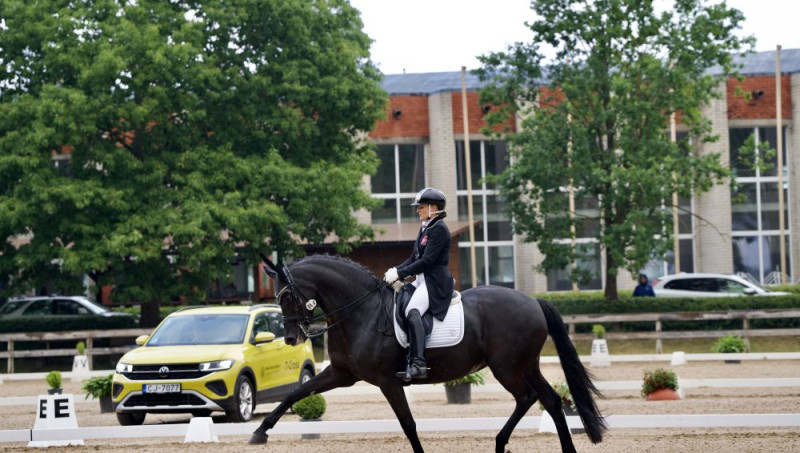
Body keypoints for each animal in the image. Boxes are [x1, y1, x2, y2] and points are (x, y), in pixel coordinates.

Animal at [252, 254, 608, 452]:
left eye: (288, 297)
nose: (291, 338)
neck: (360, 311)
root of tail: (533, 301)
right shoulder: (341, 374)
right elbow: (295, 393)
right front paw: (259, 432)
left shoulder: (388, 381)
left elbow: (408, 424)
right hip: (526, 365)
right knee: (550, 400)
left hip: (507, 367)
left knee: (528, 398)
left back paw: (500, 443)